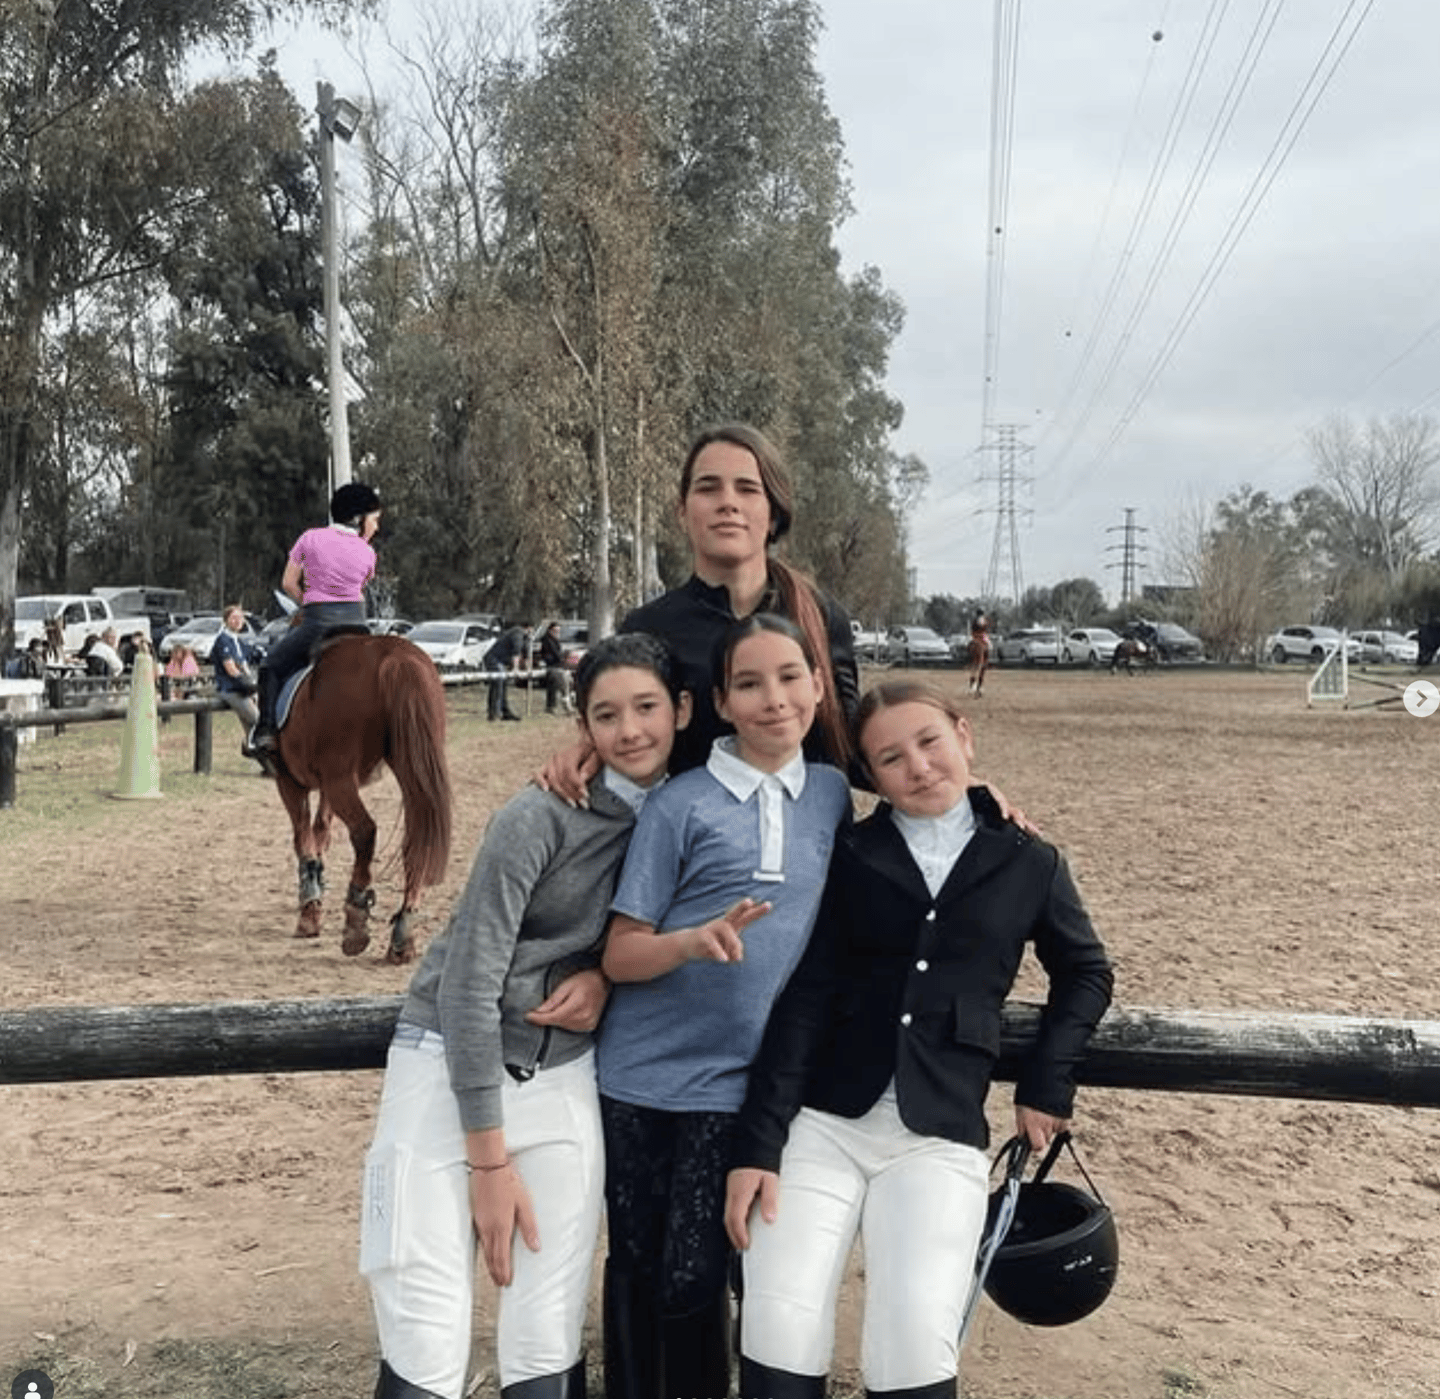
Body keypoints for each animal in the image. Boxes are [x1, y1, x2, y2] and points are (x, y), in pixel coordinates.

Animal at [271, 632, 453, 964]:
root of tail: (395, 656)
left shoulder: (291, 782)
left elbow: (303, 839)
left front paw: (309, 912)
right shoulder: (328, 785)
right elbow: (321, 833)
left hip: (340, 778)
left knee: (365, 831)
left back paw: (355, 923)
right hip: (409, 766)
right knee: (416, 841)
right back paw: (403, 933)